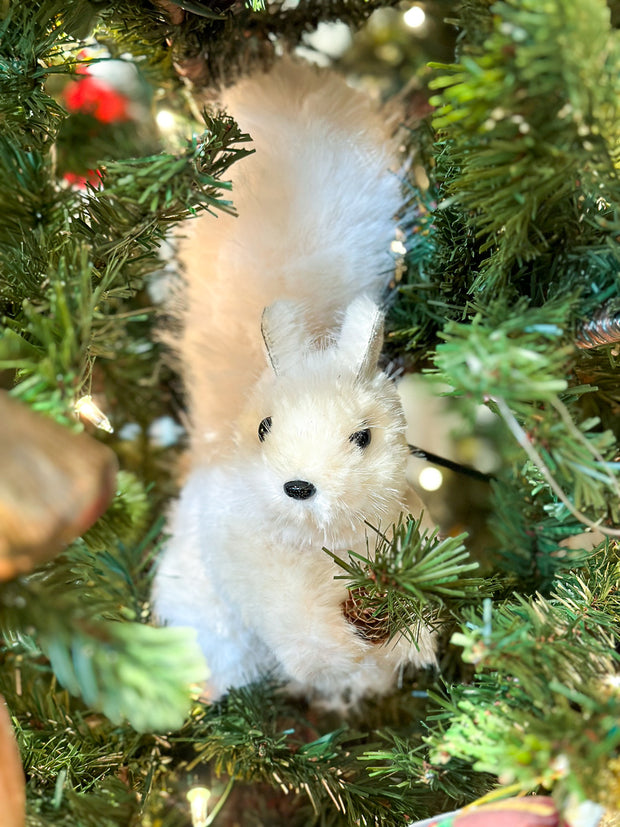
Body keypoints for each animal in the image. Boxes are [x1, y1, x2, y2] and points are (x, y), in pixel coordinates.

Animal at [153, 55, 436, 708]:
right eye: (264, 428)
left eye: (364, 437)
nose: (299, 486)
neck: (318, 534)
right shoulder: (260, 569)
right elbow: (299, 623)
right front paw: (336, 657)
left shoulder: (399, 534)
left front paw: (414, 647)